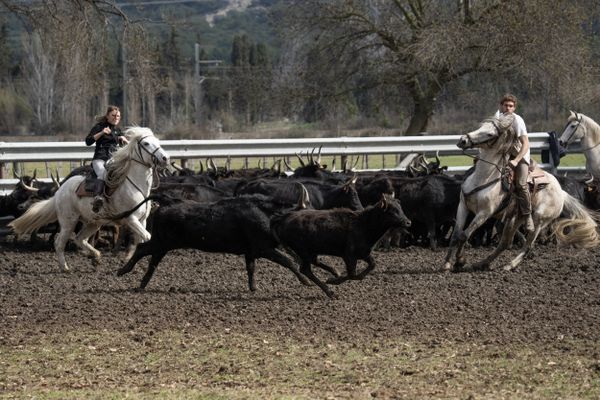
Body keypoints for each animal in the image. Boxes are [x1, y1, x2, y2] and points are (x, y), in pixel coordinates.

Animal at [8, 128, 169, 272]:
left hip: (93, 222)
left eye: (157, 141)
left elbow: (140, 240)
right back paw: (65, 267)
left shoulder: (142, 220)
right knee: (59, 242)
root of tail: (59, 191)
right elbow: (147, 237)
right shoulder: (131, 219)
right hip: (69, 221)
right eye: (146, 143)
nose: (165, 158)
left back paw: (95, 257)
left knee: (80, 239)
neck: (134, 185)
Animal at [442, 112, 596, 272]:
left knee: (527, 246)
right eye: (481, 126)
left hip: (539, 220)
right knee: (505, 243)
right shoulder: (463, 206)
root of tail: (561, 192)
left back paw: (509, 265)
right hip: (515, 218)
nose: (463, 140)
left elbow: (464, 235)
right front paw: (447, 263)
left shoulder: (484, 214)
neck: (483, 178)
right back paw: (482, 263)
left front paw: (460, 261)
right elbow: (456, 235)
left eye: (490, 133)